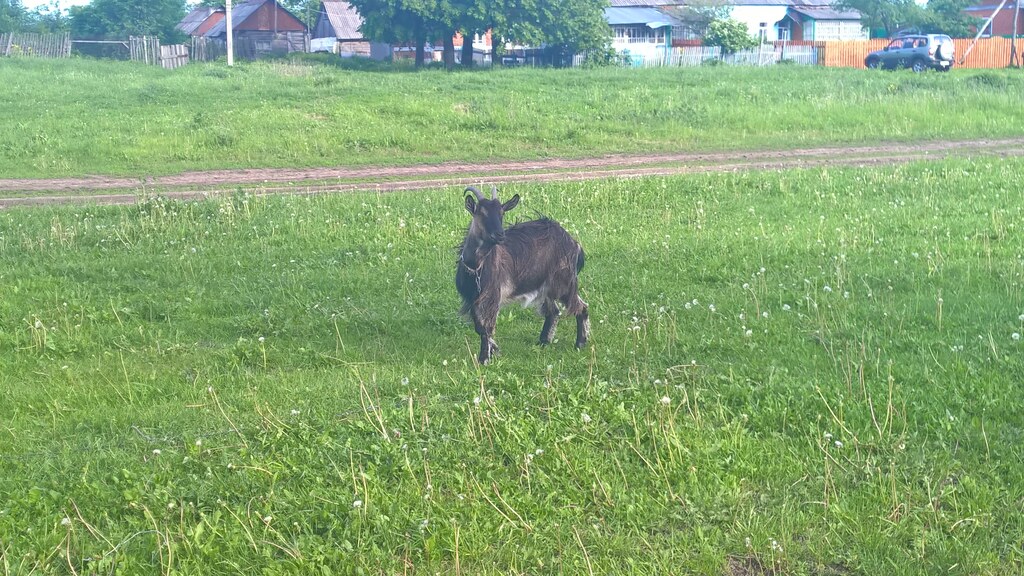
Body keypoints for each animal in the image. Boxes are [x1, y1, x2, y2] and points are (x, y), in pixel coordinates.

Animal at [456, 185, 589, 365]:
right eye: (481, 212)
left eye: (502, 212)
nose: (500, 235)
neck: (476, 267)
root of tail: (574, 243)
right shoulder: (472, 299)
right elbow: (479, 327)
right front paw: (494, 350)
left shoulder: (492, 297)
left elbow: (486, 328)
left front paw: (484, 359)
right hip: (545, 286)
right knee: (553, 311)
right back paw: (543, 342)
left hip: (564, 282)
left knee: (581, 307)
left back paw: (580, 343)